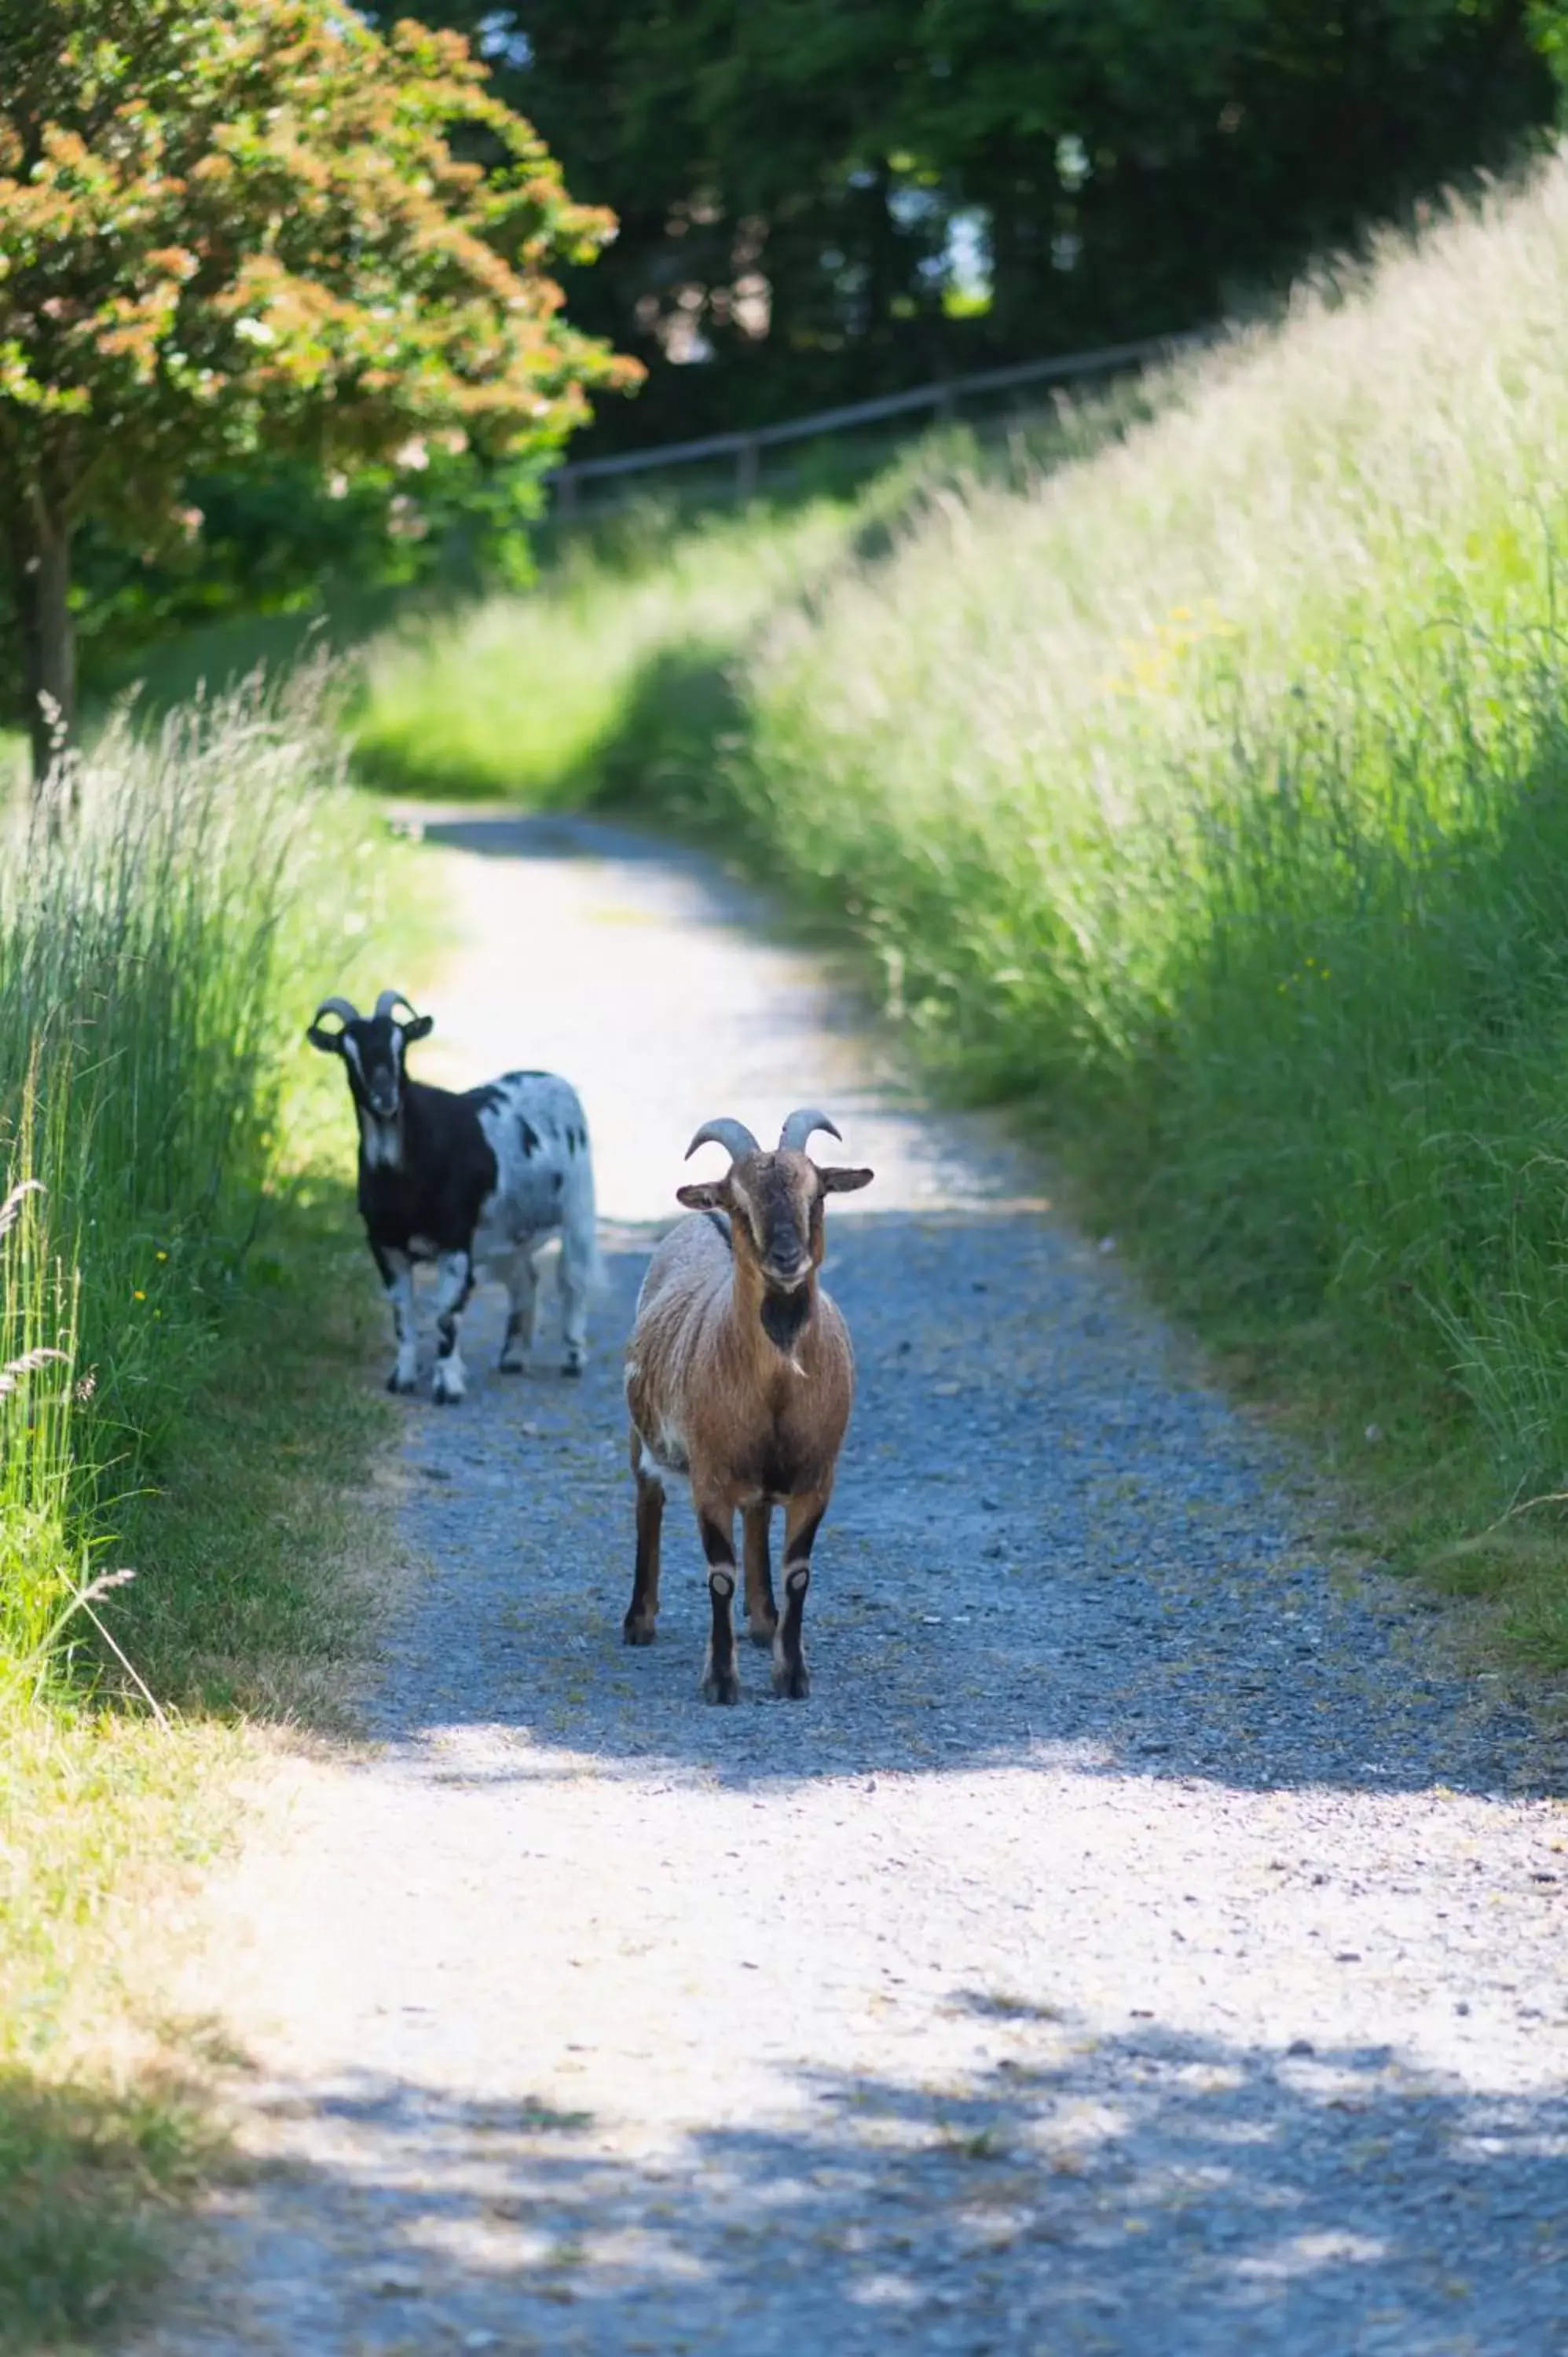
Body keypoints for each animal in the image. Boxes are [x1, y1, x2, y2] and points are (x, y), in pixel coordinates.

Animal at [306, 990, 594, 1395]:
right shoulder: (385, 1245)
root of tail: (554, 1079)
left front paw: (449, 1386)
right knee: (524, 1279)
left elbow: (445, 1314)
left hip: (579, 1206)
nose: (384, 1096)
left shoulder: (455, 1240)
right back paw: (512, 1357)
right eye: (348, 1052)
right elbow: (403, 1314)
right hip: (509, 1230)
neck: (404, 1172)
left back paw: (573, 1358)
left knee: (573, 1279)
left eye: (401, 1044)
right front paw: (402, 1379)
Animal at [622, 1103, 867, 1697]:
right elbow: (720, 1576)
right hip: (641, 1437)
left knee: (757, 1518)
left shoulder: (817, 1477)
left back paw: (763, 1622)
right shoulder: (709, 1479)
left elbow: (798, 1572)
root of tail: (698, 1221)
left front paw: (792, 1674)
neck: (777, 1392)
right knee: (647, 1503)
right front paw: (720, 1682)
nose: (787, 1256)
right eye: (738, 1200)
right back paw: (639, 1621)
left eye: (819, 1192)